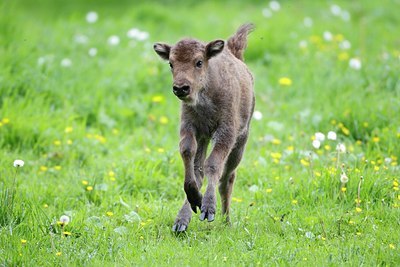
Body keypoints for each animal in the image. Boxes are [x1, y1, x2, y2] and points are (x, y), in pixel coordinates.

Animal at [155, 23, 255, 232]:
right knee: (200, 170)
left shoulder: (226, 133)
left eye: (199, 62)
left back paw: (225, 220)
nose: (181, 88)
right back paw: (183, 220)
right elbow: (188, 154)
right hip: (205, 138)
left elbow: (213, 164)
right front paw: (196, 202)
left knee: (227, 178)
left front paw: (209, 209)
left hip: (241, 141)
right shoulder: (192, 129)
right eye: (171, 63)